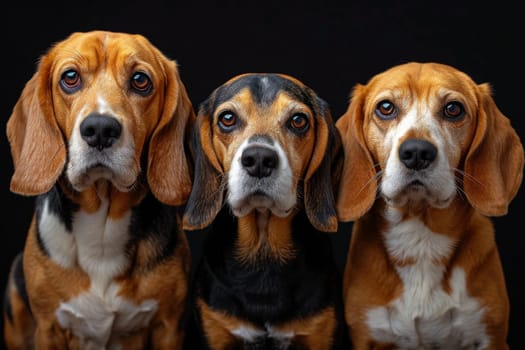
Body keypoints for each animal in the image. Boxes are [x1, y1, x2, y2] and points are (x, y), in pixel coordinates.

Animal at [2, 31, 194, 348]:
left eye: (140, 80)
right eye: (70, 77)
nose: (100, 129)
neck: (102, 226)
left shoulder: (168, 326)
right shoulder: (48, 328)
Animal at [336, 61, 524, 348]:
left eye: (453, 109)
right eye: (386, 107)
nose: (416, 152)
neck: (420, 238)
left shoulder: (490, 336)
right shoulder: (366, 335)